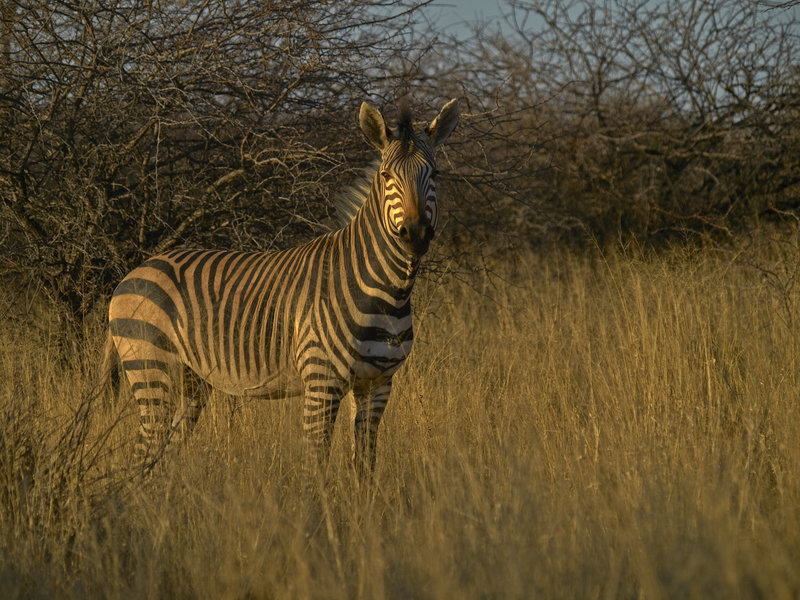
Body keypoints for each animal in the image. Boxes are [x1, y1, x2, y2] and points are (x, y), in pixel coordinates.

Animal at [106, 98, 459, 478]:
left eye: (435, 175)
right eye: (386, 176)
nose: (416, 234)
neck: (386, 293)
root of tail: (131, 274)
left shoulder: (377, 384)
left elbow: (364, 465)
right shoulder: (321, 381)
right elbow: (315, 464)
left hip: (191, 382)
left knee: (160, 456)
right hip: (151, 367)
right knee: (143, 452)